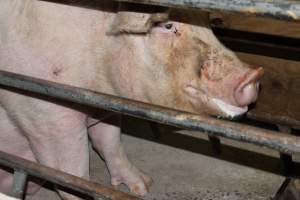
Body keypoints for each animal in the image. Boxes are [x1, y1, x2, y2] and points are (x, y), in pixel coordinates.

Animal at [0, 0, 262, 199]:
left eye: (206, 23)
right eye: (167, 25)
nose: (252, 77)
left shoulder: (105, 105)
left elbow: (110, 143)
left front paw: (143, 187)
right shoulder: (45, 117)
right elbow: (70, 173)